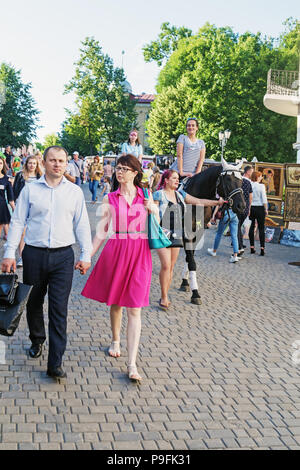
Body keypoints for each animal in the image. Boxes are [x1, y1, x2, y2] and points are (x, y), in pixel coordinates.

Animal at [180, 159, 246, 304]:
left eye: (241, 180)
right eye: (228, 179)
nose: (241, 206)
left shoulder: (198, 232)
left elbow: (189, 258)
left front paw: (186, 281)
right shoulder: (187, 232)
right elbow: (191, 261)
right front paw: (195, 292)